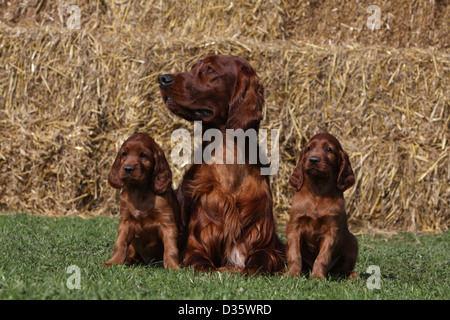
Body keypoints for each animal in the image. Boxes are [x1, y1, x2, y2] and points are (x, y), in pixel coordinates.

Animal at [104, 132, 180, 270]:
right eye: (124, 153)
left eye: (143, 155)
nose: (128, 168)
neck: (140, 190)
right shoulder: (125, 221)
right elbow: (120, 243)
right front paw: (113, 262)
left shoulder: (167, 222)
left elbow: (170, 247)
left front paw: (172, 266)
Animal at [158, 55, 284, 276]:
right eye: (193, 68)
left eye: (210, 69)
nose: (162, 79)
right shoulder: (196, 245)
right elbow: (201, 264)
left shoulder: (265, 244)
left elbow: (260, 263)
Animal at [286, 132, 356, 278]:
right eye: (309, 148)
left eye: (329, 149)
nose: (313, 160)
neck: (318, 190)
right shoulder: (294, 227)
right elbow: (294, 255)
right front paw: (292, 274)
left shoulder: (332, 230)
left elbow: (322, 257)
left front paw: (318, 276)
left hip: (353, 241)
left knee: (342, 270)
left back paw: (352, 275)